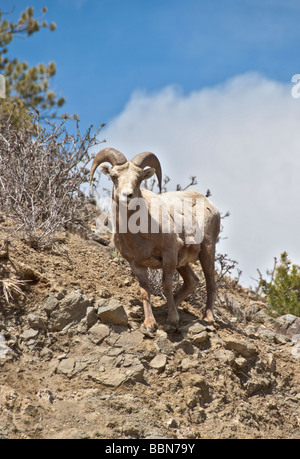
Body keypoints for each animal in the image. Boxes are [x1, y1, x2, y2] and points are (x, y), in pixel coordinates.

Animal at [89, 149, 220, 332]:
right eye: (114, 177)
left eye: (139, 178)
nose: (128, 195)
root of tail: (210, 205)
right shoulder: (137, 265)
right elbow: (145, 291)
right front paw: (149, 324)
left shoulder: (169, 254)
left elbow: (166, 285)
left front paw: (172, 319)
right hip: (182, 262)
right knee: (192, 281)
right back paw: (162, 310)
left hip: (207, 250)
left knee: (210, 283)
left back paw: (207, 317)